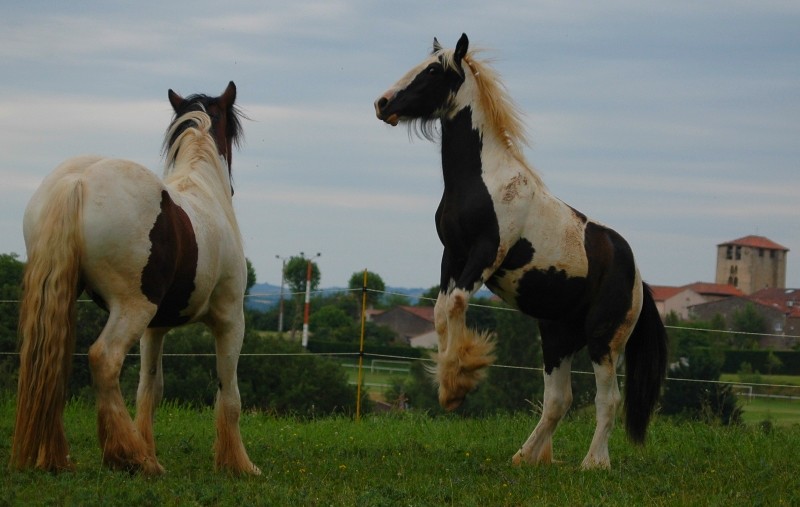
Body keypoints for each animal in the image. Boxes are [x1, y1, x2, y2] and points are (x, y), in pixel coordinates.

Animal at [10, 83, 260, 476]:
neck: (204, 190)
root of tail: (78, 181)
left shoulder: (154, 329)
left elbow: (149, 391)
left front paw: (152, 448)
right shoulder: (231, 320)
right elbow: (229, 395)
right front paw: (238, 464)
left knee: (50, 363)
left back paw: (59, 458)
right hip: (131, 309)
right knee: (103, 358)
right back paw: (131, 457)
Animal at [376, 33, 668, 470]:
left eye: (432, 70)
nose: (382, 103)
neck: (483, 181)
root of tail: (639, 280)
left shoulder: (486, 254)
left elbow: (455, 304)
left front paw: (459, 384)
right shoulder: (452, 255)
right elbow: (441, 311)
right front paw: (450, 384)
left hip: (604, 340)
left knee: (608, 400)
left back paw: (593, 463)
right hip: (557, 339)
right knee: (559, 400)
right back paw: (526, 456)